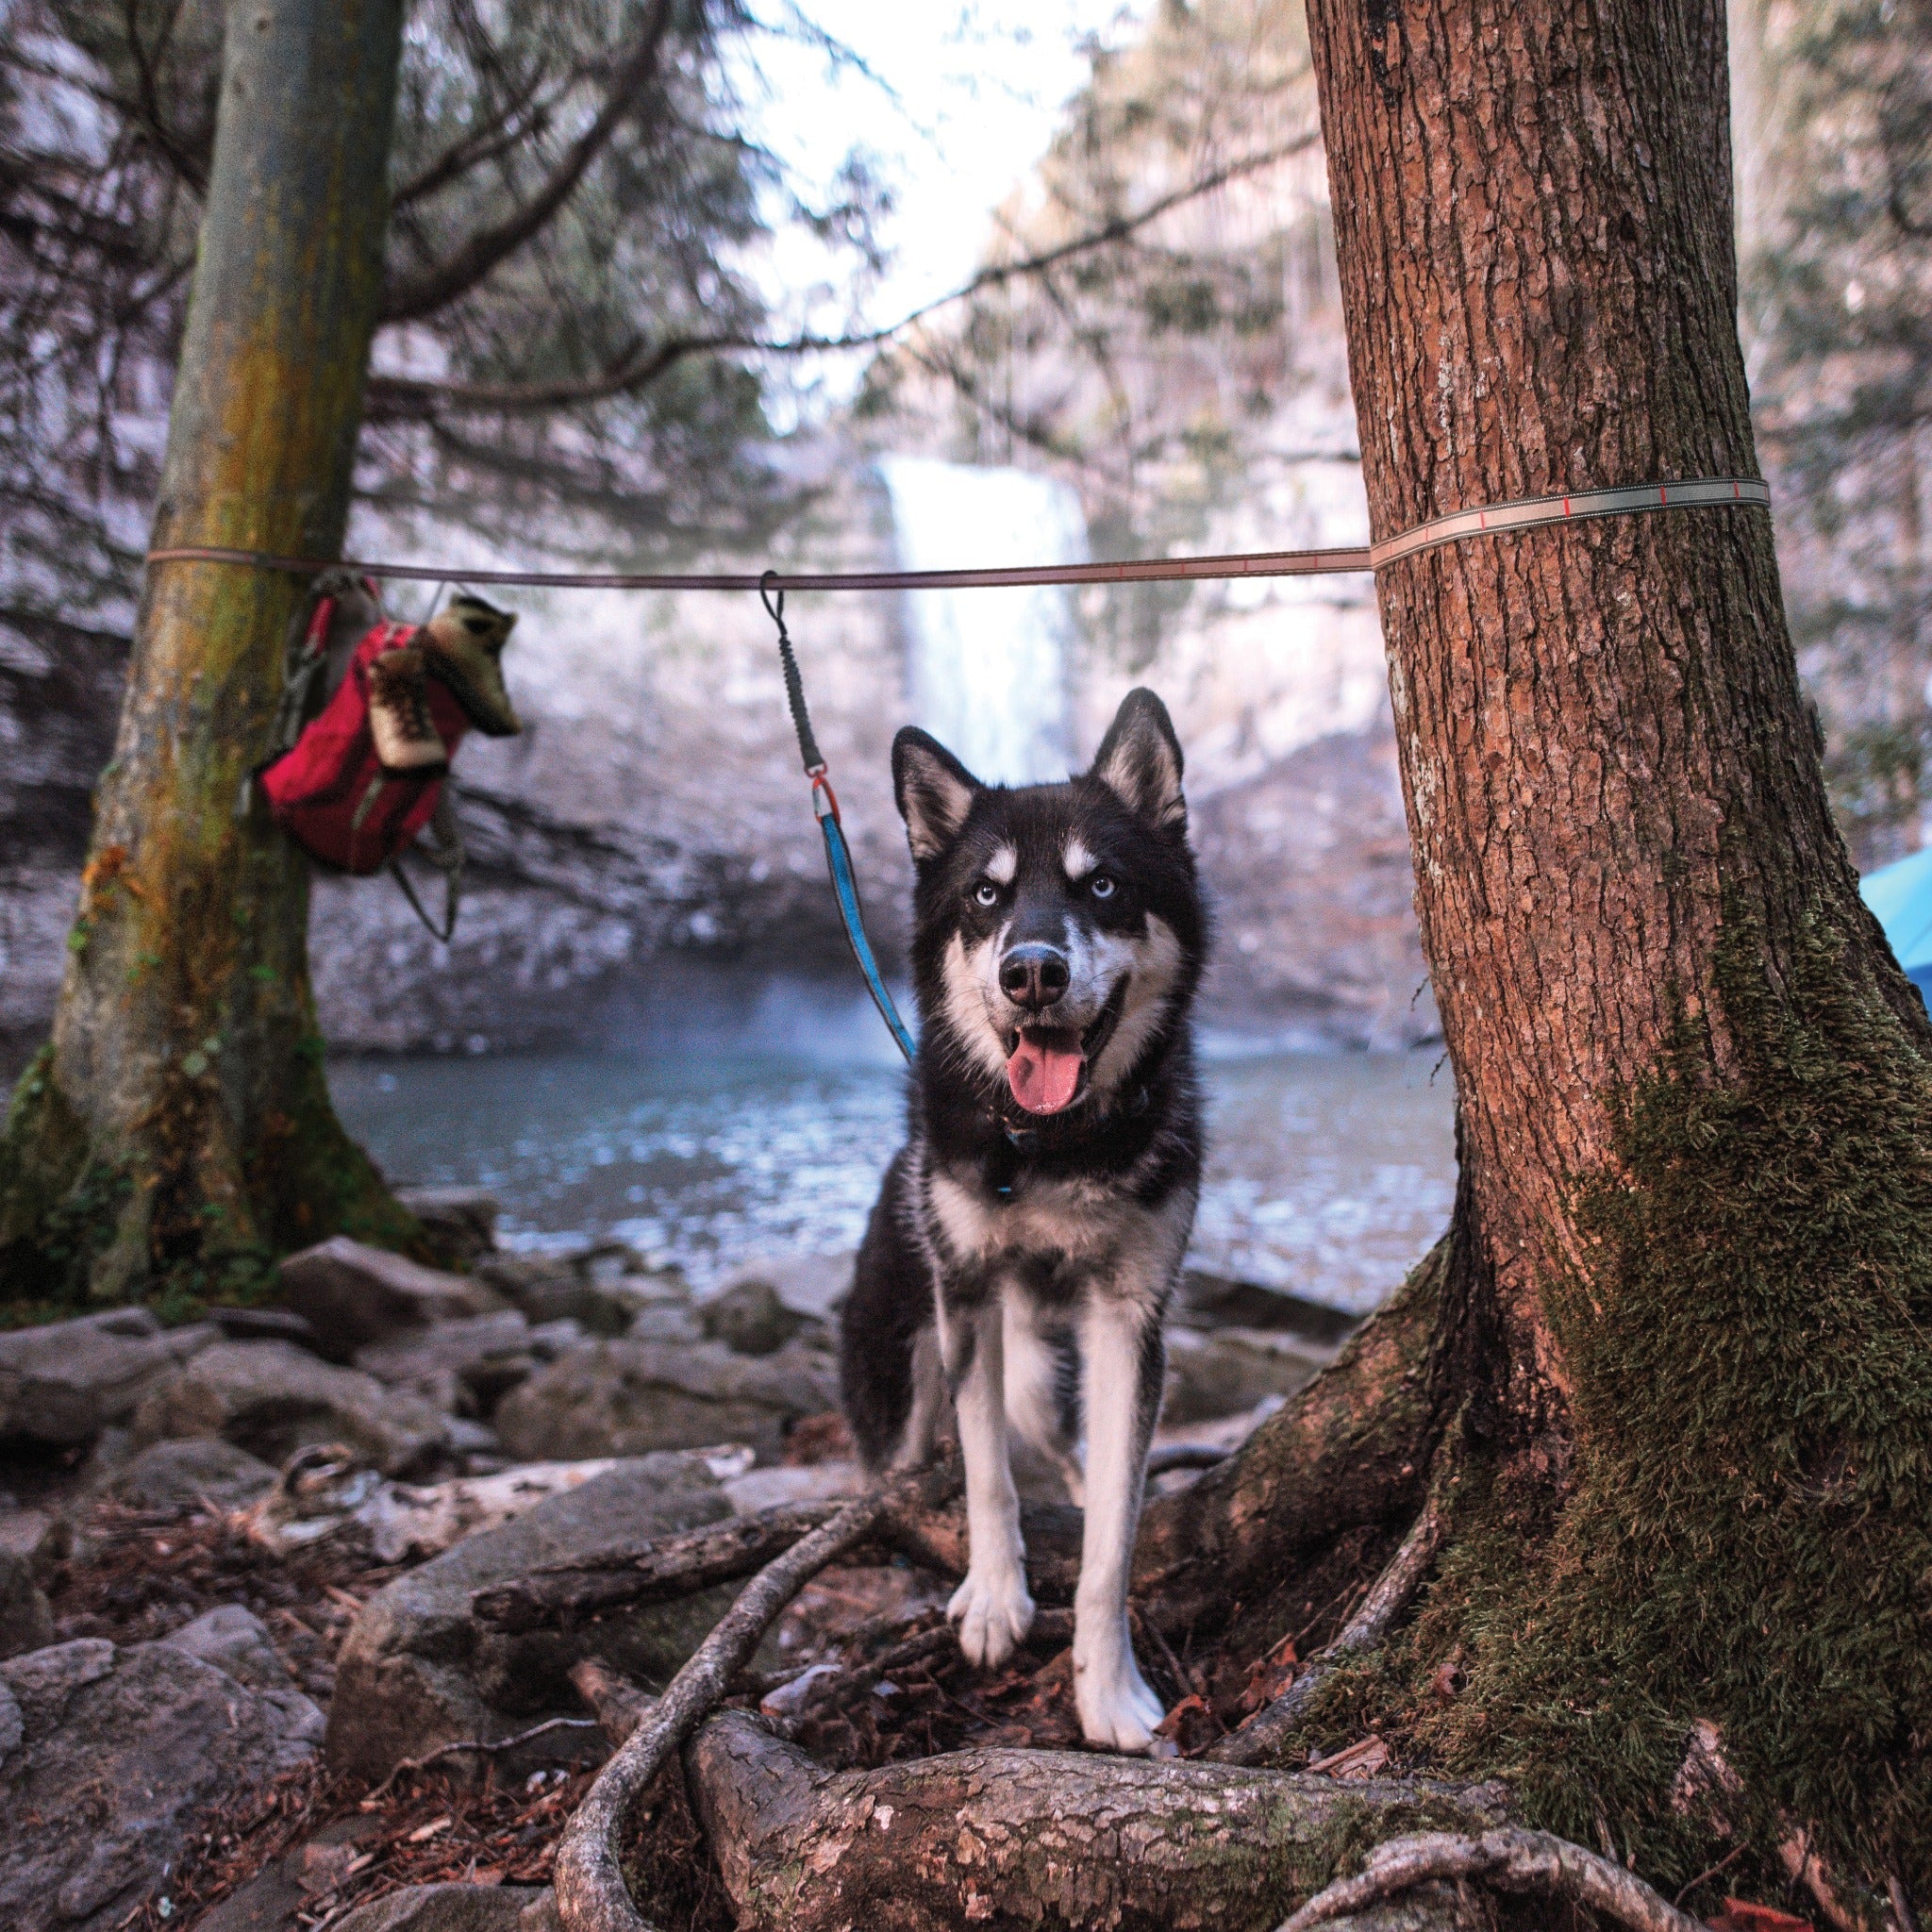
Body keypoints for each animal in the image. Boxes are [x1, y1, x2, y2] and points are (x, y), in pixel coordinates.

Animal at [838, 683, 1197, 1754]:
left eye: (1103, 885)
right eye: (987, 897)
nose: (1031, 971)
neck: (1052, 1150)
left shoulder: (1129, 1321)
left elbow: (1113, 1529)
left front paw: (1107, 1689)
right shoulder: (966, 1300)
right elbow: (987, 1473)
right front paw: (996, 1600)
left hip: (1046, 1378)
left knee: (1066, 1453)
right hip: (902, 1390)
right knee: (916, 1469)